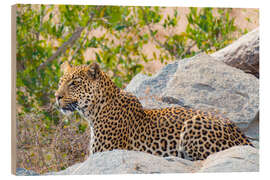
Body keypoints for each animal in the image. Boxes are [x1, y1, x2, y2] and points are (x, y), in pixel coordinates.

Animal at [54, 62, 253, 160]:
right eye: (60, 82)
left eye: (74, 83)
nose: (57, 96)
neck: (94, 111)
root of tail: (244, 139)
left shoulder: (105, 151)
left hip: (193, 124)